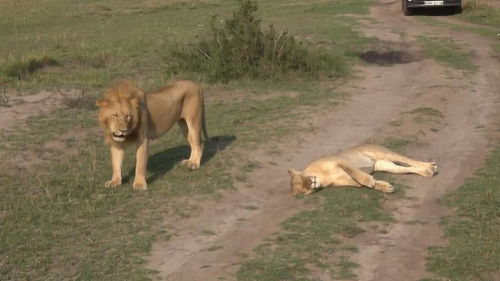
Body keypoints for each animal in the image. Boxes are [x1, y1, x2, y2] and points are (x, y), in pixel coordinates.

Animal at [290, 144, 438, 195]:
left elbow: (356, 172)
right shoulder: (347, 181)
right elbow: (362, 184)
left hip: (383, 153)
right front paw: (385, 187)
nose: (312, 183)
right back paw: (427, 172)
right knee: (405, 168)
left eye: (304, 179)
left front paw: (369, 181)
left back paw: (431, 166)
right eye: (304, 189)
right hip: (385, 165)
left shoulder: (341, 161)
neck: (323, 178)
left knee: (408, 160)